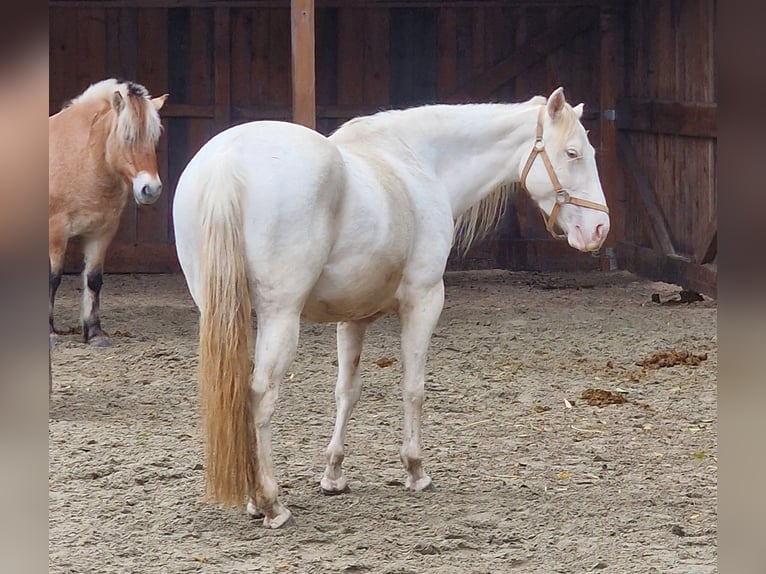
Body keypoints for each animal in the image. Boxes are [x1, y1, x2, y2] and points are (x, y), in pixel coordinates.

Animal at [49, 78, 168, 347]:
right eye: (127, 136)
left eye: (154, 138)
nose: (150, 189)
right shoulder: (56, 231)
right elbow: (54, 278)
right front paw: (49, 332)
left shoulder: (101, 232)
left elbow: (94, 279)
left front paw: (95, 334)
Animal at [172, 87, 610, 528]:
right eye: (572, 153)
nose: (598, 230)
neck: (419, 162)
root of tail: (228, 162)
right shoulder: (425, 300)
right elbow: (413, 387)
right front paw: (415, 470)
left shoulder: (353, 317)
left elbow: (347, 391)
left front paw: (334, 475)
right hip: (280, 317)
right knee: (261, 394)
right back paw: (270, 502)